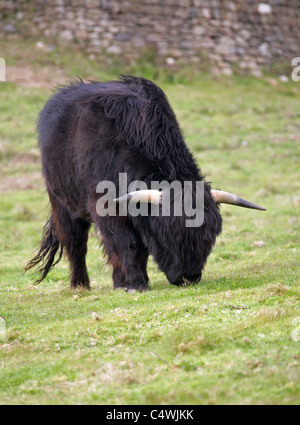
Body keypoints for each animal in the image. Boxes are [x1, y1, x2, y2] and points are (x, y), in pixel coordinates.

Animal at [25, 75, 264, 292]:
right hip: (63, 203)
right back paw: (80, 285)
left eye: (211, 237)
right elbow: (125, 243)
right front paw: (136, 284)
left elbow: (140, 248)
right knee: (76, 242)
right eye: (167, 236)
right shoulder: (107, 207)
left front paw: (137, 280)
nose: (189, 278)